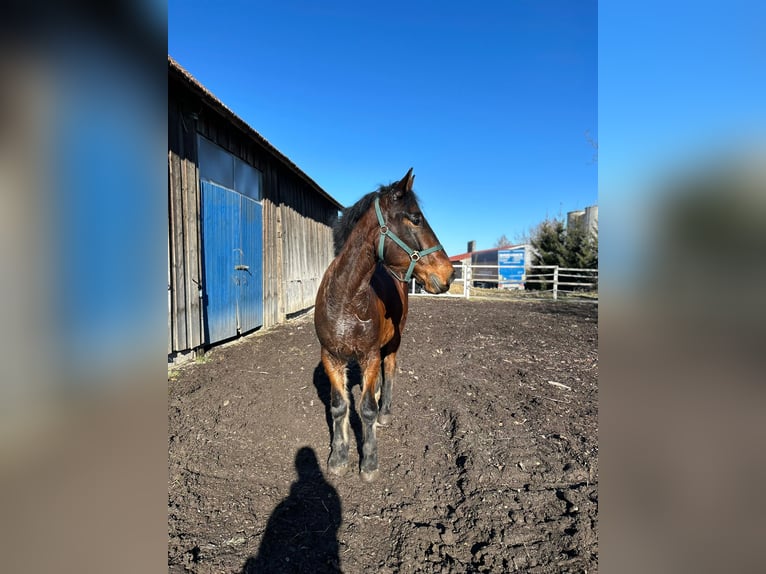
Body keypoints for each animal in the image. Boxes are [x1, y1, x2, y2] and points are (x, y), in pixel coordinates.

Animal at [314, 169, 452, 484]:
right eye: (415, 218)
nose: (449, 274)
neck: (346, 298)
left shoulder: (371, 355)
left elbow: (366, 409)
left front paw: (369, 462)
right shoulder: (331, 356)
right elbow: (339, 406)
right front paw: (338, 457)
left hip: (391, 345)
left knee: (389, 373)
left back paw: (385, 413)